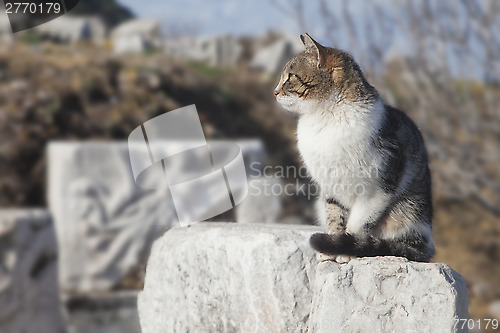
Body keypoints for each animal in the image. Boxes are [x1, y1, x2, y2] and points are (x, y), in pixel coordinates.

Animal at [274, 33, 434, 262]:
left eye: (290, 77)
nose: (274, 92)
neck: (325, 119)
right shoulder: (330, 185)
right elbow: (334, 216)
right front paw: (331, 247)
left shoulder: (379, 188)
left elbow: (359, 224)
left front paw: (345, 250)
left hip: (409, 211)